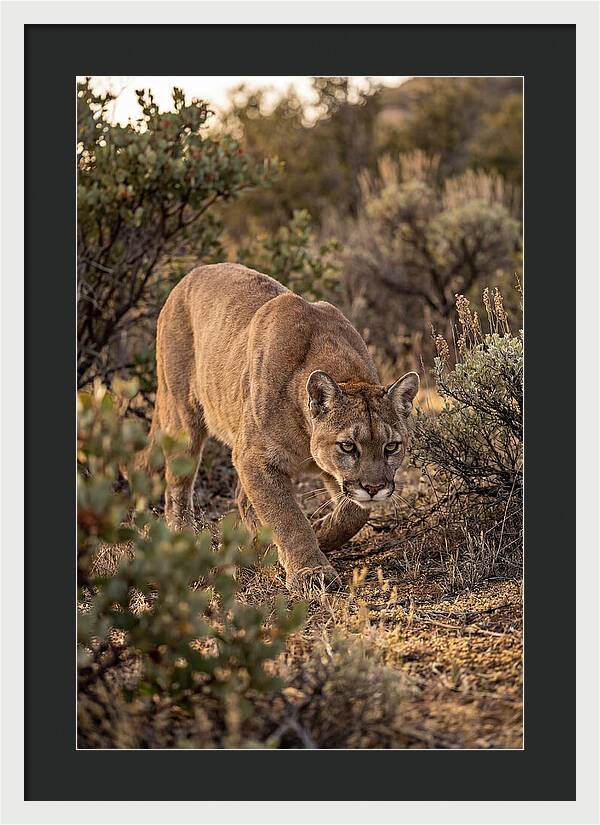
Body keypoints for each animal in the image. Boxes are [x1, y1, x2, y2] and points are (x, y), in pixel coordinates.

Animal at [143, 263, 419, 592]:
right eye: (348, 446)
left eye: (391, 446)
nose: (375, 488)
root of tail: (190, 274)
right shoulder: (255, 456)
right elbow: (287, 516)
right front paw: (311, 570)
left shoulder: (327, 472)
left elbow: (354, 512)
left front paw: (320, 533)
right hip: (183, 417)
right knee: (177, 489)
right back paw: (184, 539)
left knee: (241, 497)